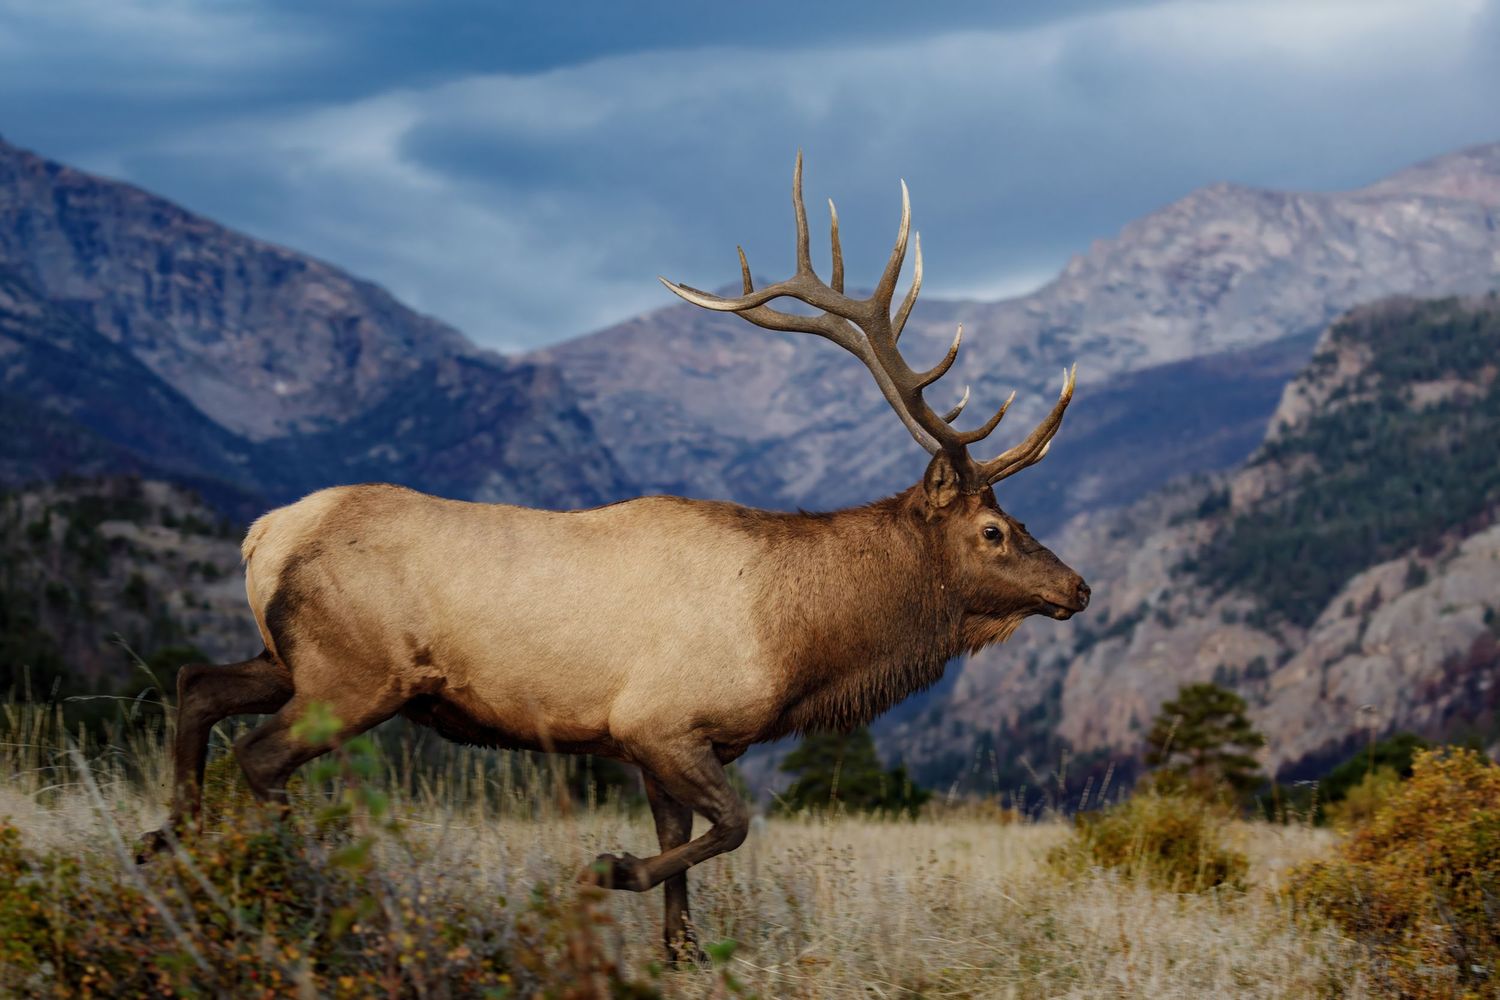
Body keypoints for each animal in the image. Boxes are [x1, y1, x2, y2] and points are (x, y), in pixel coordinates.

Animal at [138, 155, 1090, 962]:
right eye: (994, 530)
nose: (1078, 587)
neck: (797, 643)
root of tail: (265, 533)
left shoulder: (666, 742)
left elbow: (686, 842)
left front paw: (681, 950)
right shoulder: (660, 721)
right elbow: (730, 828)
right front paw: (607, 870)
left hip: (292, 656)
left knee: (196, 684)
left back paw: (169, 839)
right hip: (356, 671)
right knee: (258, 754)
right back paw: (280, 880)